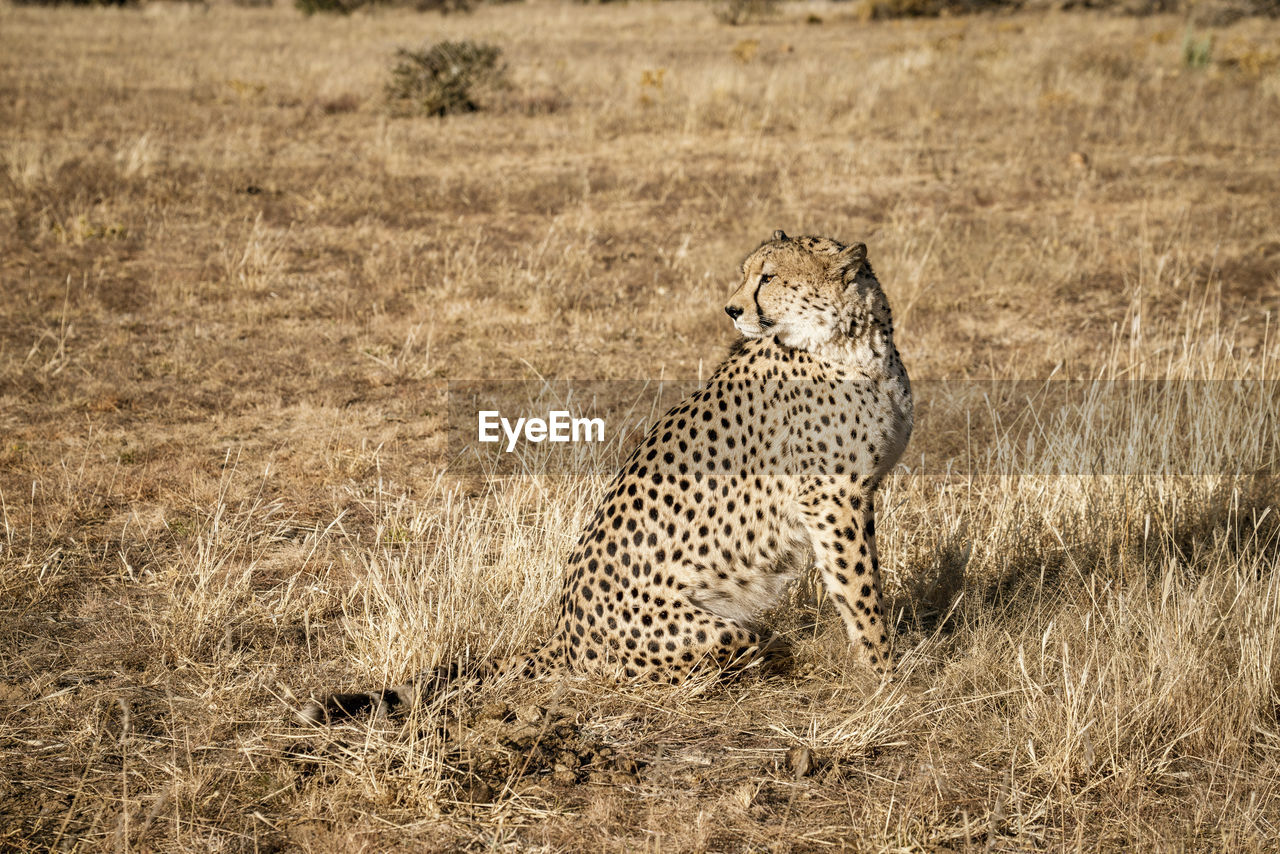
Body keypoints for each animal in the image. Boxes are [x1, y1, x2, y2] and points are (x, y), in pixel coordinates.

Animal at [302, 231, 911, 722]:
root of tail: (563, 629)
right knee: (705, 662)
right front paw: (889, 676)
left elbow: (864, 584)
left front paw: (886, 669)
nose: (732, 309)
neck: (855, 340)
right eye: (747, 272)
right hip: (715, 631)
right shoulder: (832, 499)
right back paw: (780, 661)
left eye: (770, 276)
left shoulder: (855, 496)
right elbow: (861, 592)